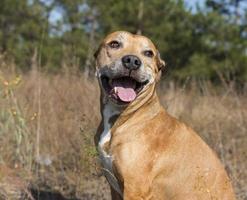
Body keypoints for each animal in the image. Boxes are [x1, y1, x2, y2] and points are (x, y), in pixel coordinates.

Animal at [93, 30, 235, 199]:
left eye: (148, 53)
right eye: (114, 44)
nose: (132, 61)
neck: (127, 116)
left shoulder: (134, 189)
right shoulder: (114, 189)